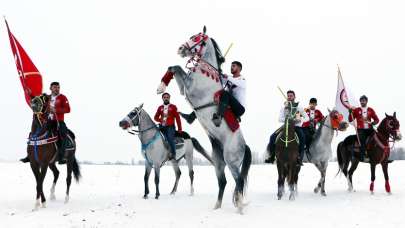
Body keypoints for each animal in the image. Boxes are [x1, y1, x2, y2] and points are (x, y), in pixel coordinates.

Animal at [156, 26, 251, 214]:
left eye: (196, 38)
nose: (181, 49)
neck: (206, 73)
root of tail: (244, 146)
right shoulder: (184, 86)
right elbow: (175, 67)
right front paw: (161, 85)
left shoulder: (191, 87)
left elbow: (176, 67)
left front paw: (161, 86)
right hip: (218, 160)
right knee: (223, 181)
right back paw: (217, 206)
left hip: (231, 160)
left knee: (238, 181)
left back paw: (239, 208)